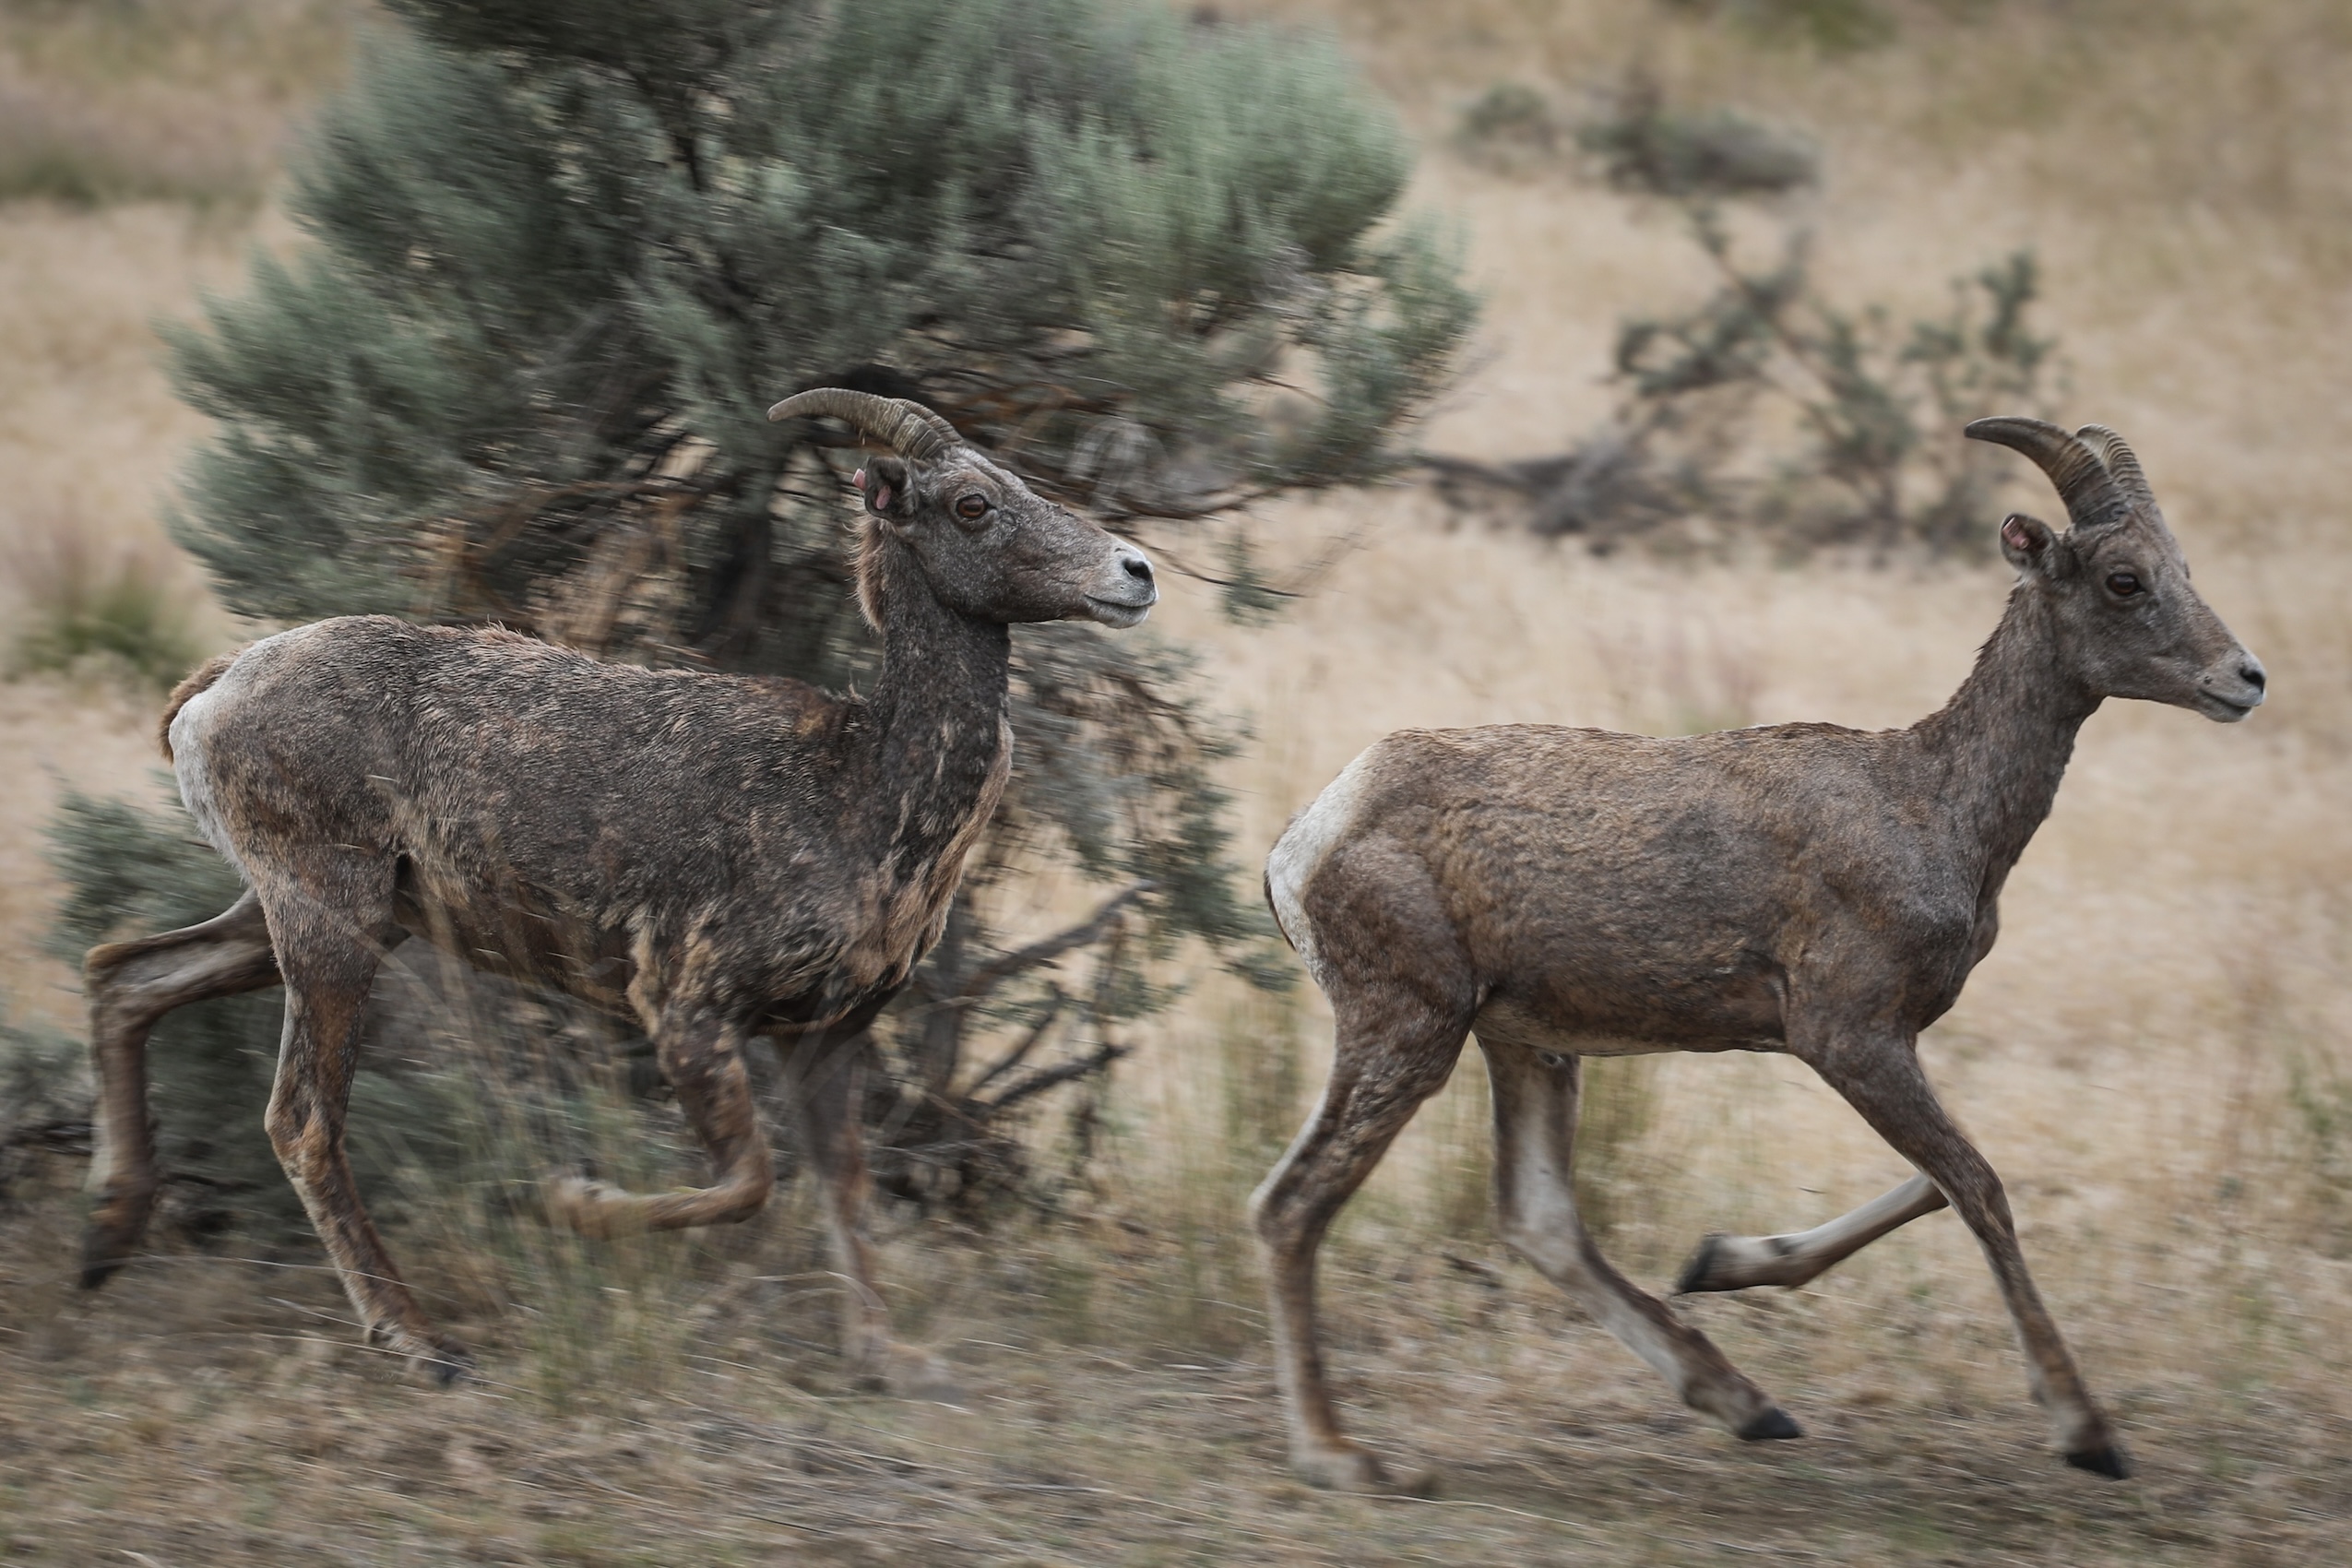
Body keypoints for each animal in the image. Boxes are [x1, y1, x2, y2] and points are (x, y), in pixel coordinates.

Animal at [1252, 416, 2266, 1490]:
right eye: (2123, 578)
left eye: (2182, 567)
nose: (2245, 679)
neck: (1932, 805)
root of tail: (1311, 833)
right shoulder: (1848, 1040)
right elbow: (1979, 1188)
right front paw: (2089, 1434)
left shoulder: (1885, 1049)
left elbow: (1942, 1182)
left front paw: (1719, 1262)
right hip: (1408, 1031)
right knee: (1292, 1206)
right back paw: (1338, 1457)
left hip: (1525, 1045)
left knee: (1538, 1220)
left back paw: (1748, 1405)